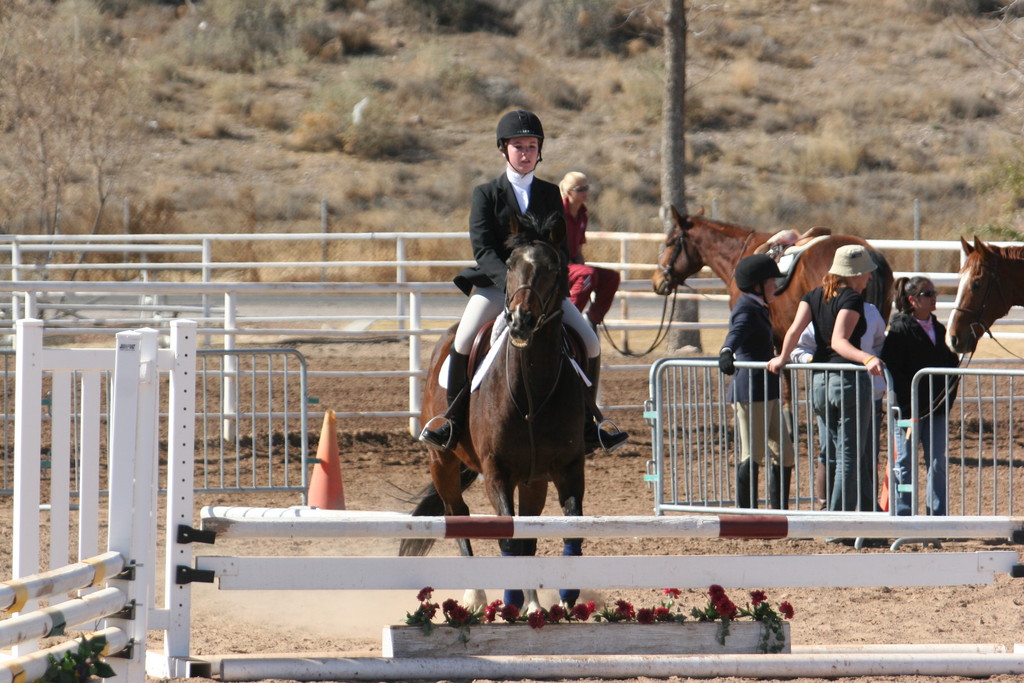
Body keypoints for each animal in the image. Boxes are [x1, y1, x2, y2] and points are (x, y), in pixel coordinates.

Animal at [401, 214, 593, 614]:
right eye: (510, 265)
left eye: (553, 269)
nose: (520, 321)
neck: (532, 391)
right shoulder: (496, 473)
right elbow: (508, 538)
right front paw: (511, 599)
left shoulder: (567, 468)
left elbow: (567, 527)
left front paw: (565, 595)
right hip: (441, 460)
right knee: (458, 515)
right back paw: (476, 596)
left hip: (533, 479)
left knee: (528, 530)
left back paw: (534, 605)